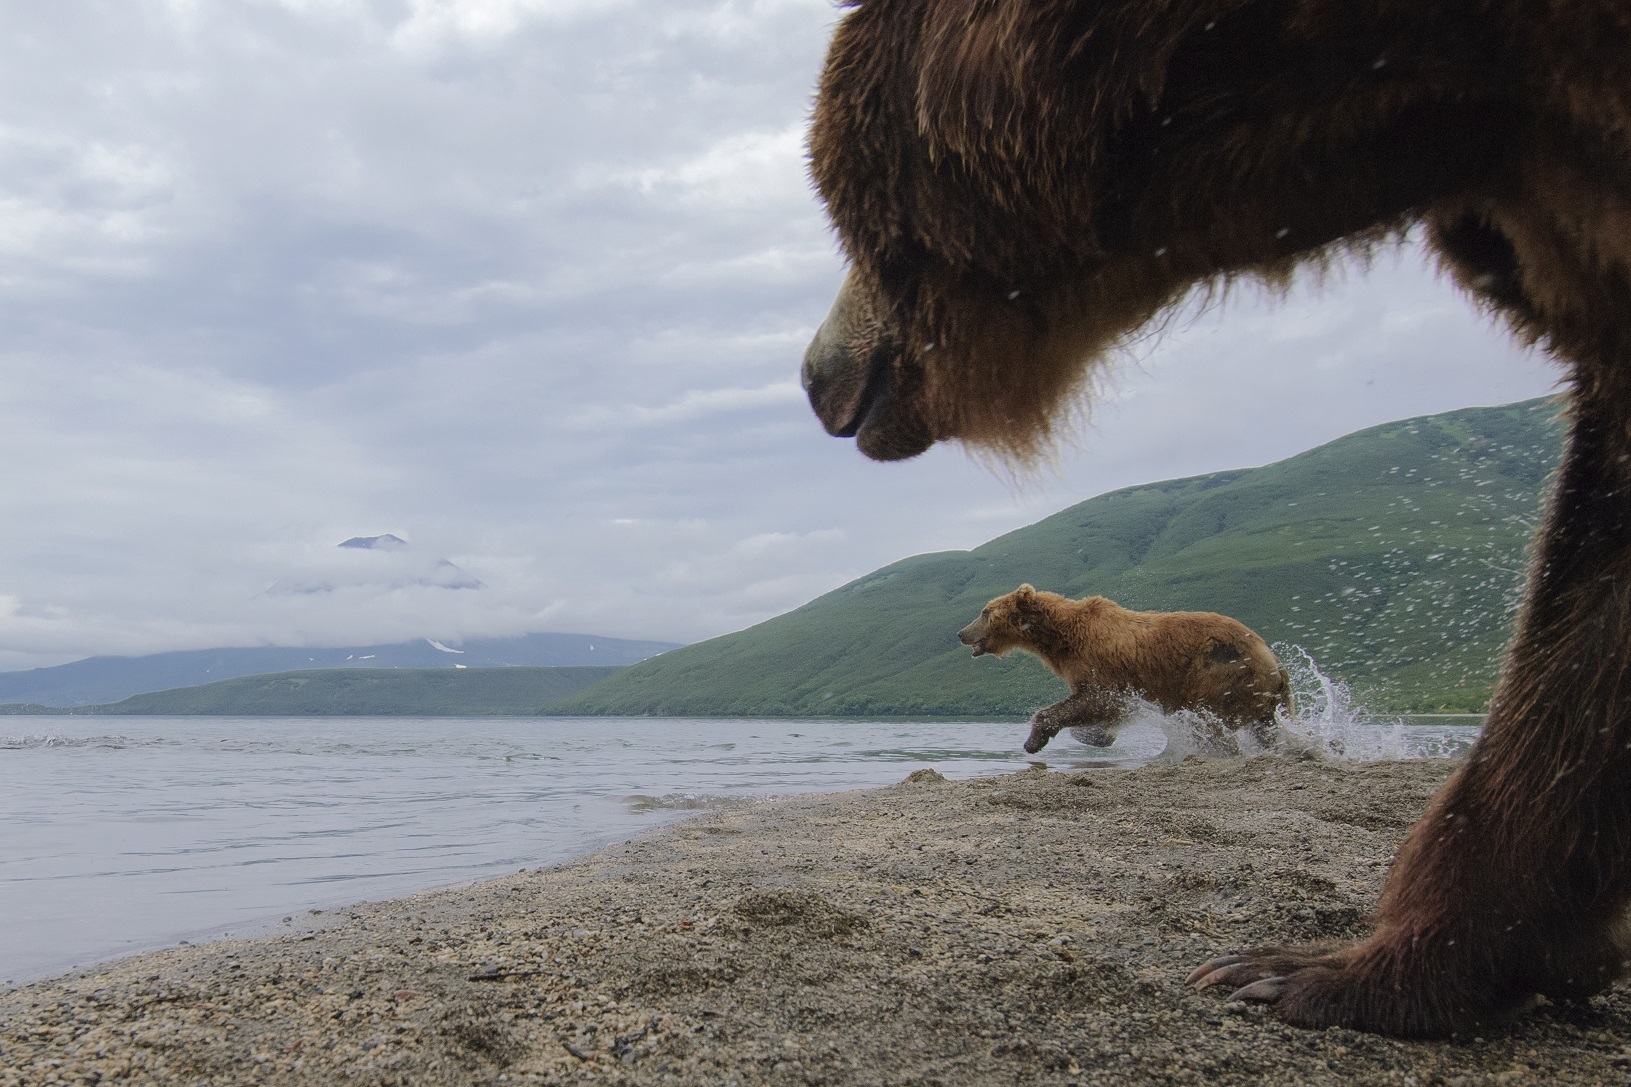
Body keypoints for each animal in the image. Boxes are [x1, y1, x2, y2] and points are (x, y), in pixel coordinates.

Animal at [959, 584, 1291, 754]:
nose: (961, 633)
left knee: (1210, 719)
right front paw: (1095, 735)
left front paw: (1034, 740)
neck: (1062, 639)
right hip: (1257, 697)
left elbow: (1094, 701)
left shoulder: (1102, 666)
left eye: (985, 613)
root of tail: (1274, 660)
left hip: (1220, 672)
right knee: (1262, 729)